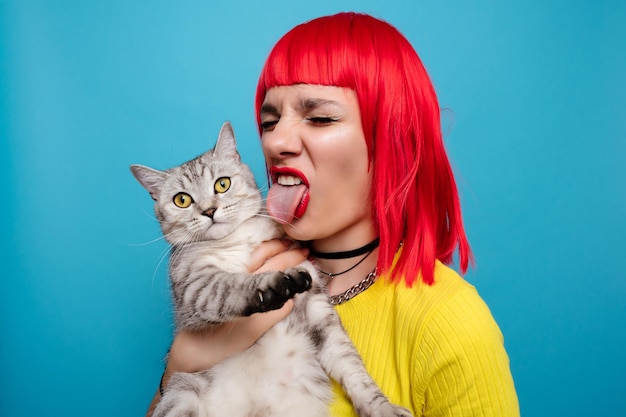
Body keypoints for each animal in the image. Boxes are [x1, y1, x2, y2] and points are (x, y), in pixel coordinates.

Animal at [131, 122, 412, 416]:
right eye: (182, 200)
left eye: (222, 184)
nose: (209, 211)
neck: (240, 238)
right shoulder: (194, 287)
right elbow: (231, 285)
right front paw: (274, 284)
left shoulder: (317, 308)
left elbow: (352, 366)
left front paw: (382, 407)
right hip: (181, 392)